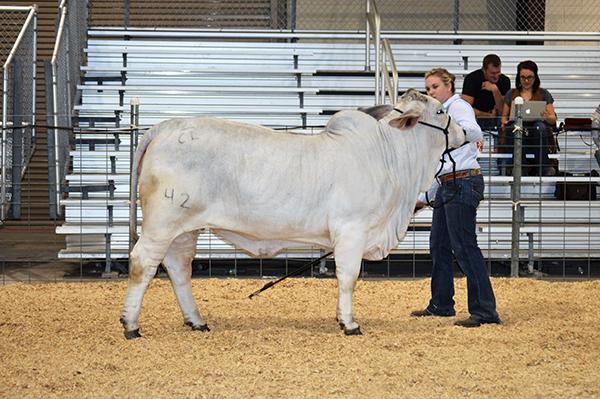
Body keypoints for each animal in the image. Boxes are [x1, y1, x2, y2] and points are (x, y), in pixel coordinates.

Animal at [122, 89, 466, 340]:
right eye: (440, 111)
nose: (464, 131)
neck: (390, 157)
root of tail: (166, 126)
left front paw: (342, 318)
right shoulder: (352, 231)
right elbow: (348, 277)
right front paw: (350, 323)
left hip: (185, 229)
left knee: (178, 268)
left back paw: (196, 320)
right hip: (162, 222)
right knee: (143, 263)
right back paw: (131, 325)